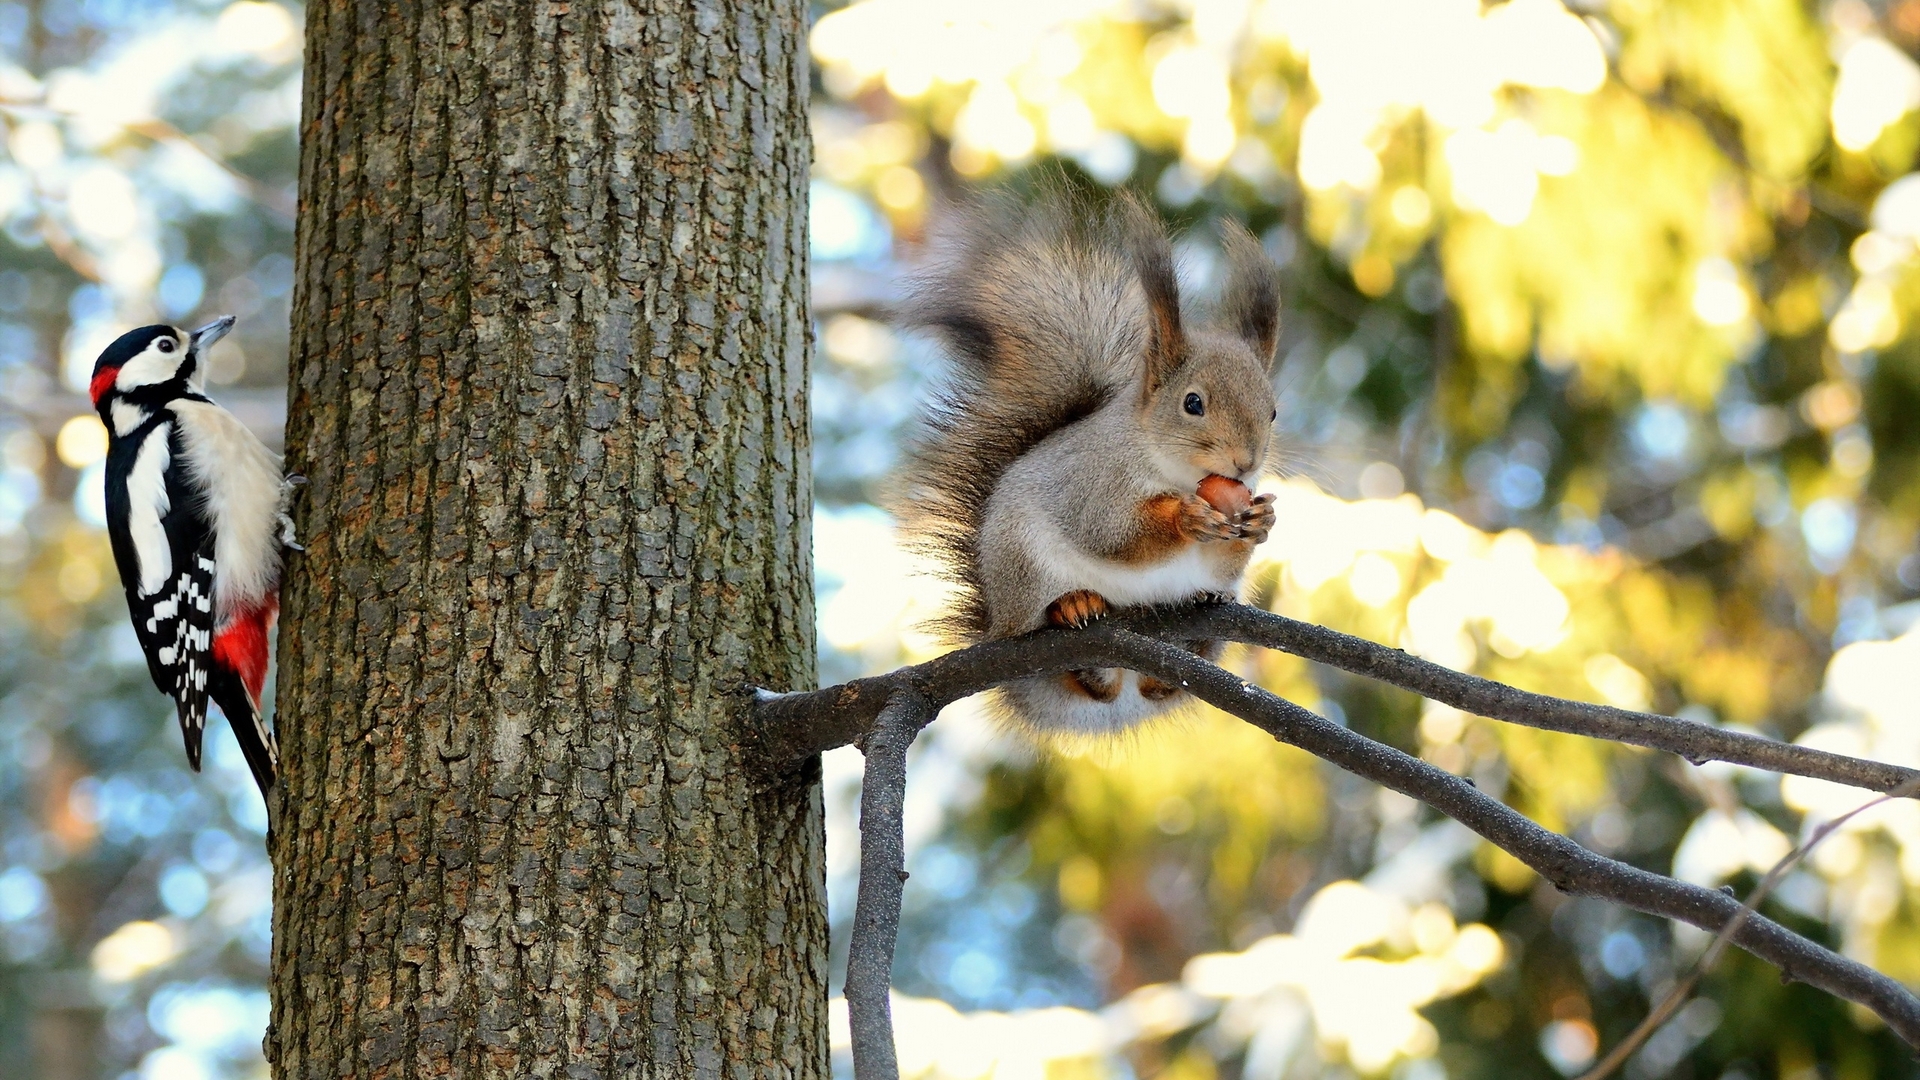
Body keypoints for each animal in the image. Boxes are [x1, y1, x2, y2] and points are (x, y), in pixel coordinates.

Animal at [895, 189, 1281, 735]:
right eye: (1193, 403)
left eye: (1272, 412)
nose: (1245, 464)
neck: (1176, 471)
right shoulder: (1091, 482)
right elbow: (1110, 533)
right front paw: (1185, 517)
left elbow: (1223, 556)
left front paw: (1261, 519)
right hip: (1025, 570)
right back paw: (1073, 608)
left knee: (1155, 682)